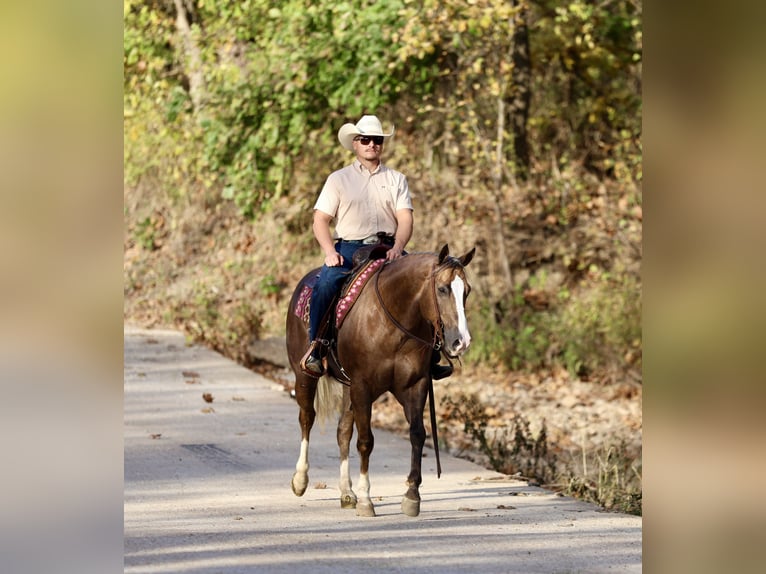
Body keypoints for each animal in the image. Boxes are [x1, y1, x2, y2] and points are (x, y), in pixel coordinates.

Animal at [285, 244, 475, 517]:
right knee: (306, 418)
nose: (461, 341)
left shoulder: (415, 385)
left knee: (343, 431)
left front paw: (411, 496)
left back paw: (346, 492)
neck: (395, 320)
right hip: (305, 376)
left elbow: (417, 434)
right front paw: (366, 499)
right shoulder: (363, 387)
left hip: (347, 386)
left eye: (467, 291)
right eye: (442, 289)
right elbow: (366, 441)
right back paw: (300, 480)